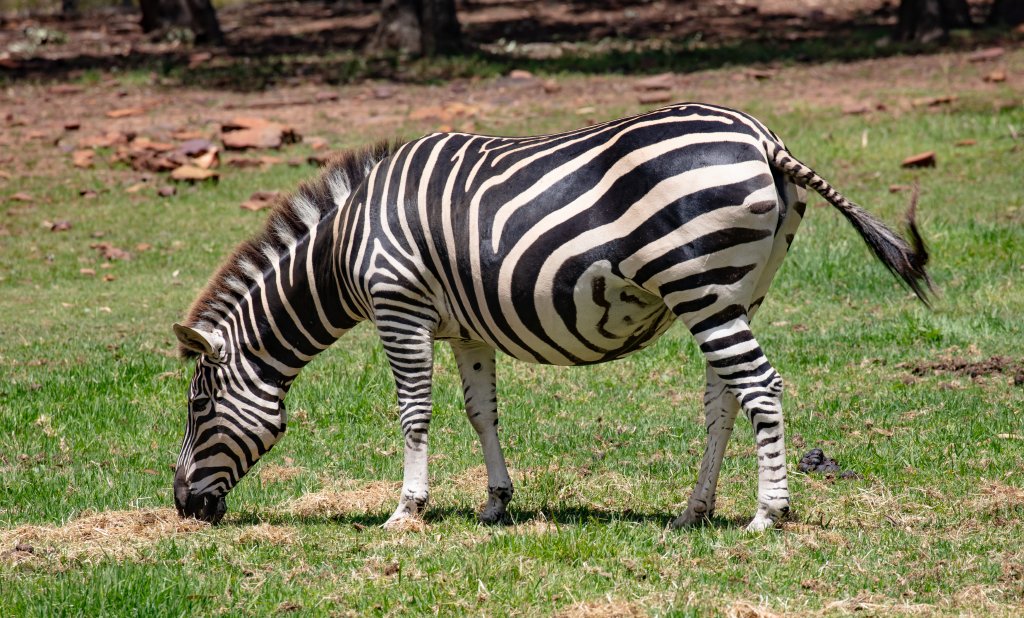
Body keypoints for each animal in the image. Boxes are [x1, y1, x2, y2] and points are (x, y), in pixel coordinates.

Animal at [172, 103, 929, 531]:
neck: (347, 245)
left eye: (198, 407)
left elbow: (414, 412)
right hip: (734, 292)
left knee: (761, 389)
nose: (183, 507)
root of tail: (763, 139)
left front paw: (406, 509)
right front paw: (494, 503)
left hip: (700, 286)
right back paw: (696, 511)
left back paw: (767, 514)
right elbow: (481, 412)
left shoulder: (399, 306)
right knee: (725, 399)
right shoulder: (465, 327)